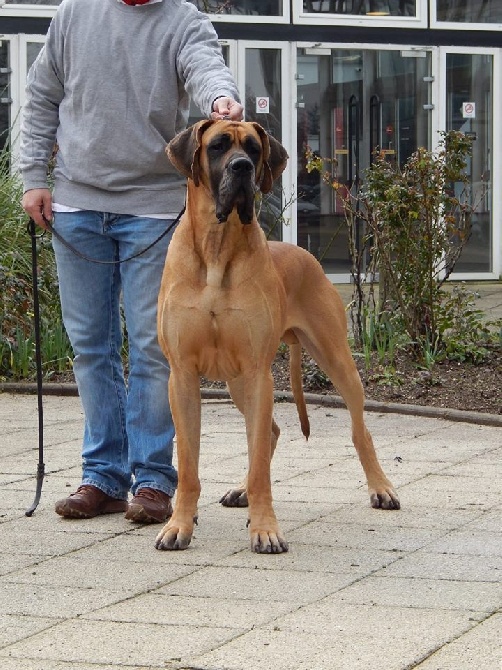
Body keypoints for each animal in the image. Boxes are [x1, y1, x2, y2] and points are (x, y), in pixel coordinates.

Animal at [157, 121, 400, 556]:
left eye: (254, 149)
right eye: (217, 146)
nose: (241, 167)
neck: (217, 246)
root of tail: (306, 255)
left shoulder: (258, 374)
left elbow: (260, 471)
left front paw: (265, 529)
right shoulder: (182, 375)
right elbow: (188, 464)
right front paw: (179, 524)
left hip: (334, 360)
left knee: (359, 430)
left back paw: (381, 488)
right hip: (237, 382)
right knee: (267, 433)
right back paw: (239, 491)